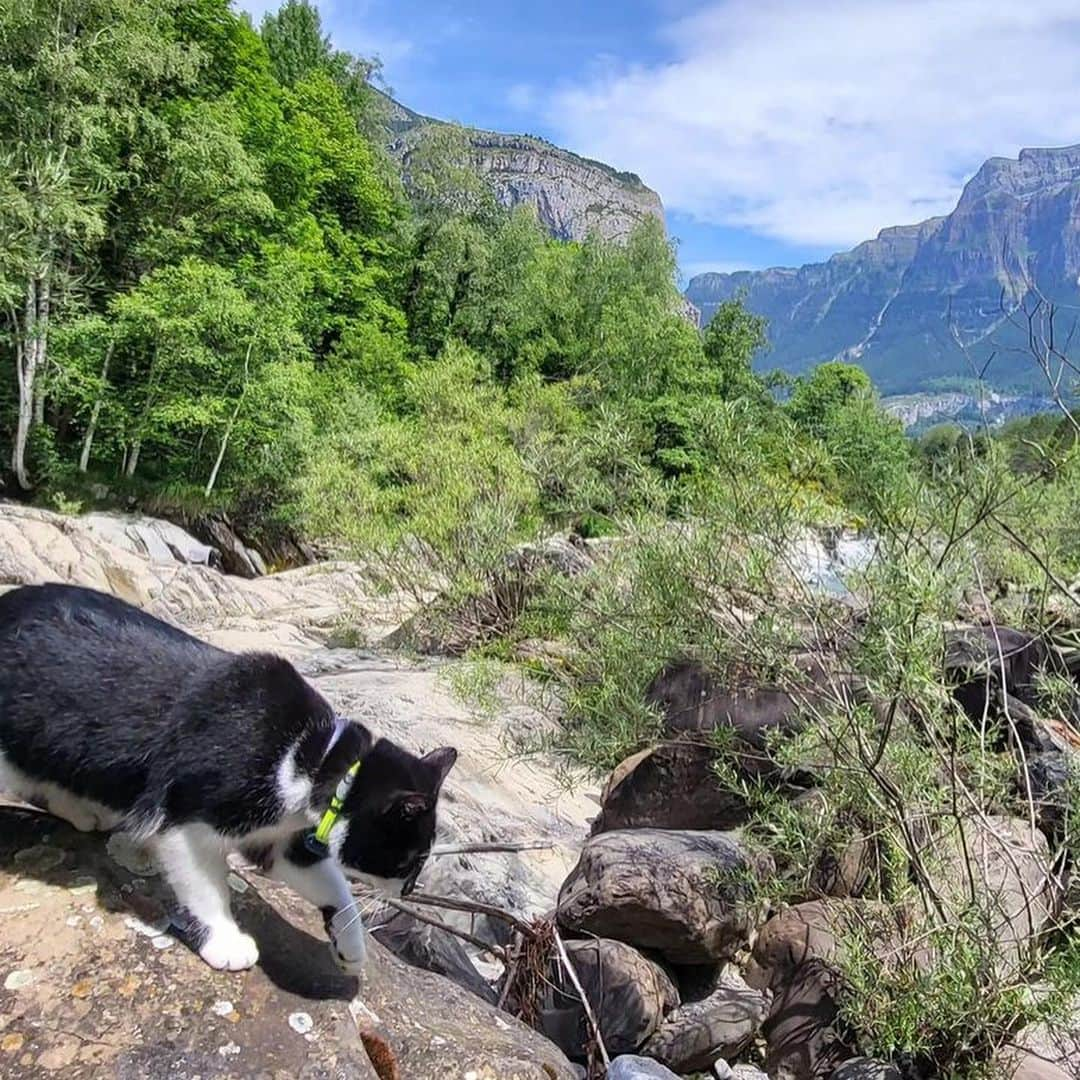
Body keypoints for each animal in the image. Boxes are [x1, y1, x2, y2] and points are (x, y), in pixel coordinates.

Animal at [0, 587, 455, 976]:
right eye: (411, 858)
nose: (410, 890)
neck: (315, 755)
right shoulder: (187, 819)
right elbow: (204, 886)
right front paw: (224, 940)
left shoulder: (282, 839)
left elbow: (334, 888)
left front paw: (350, 946)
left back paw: (83, 810)